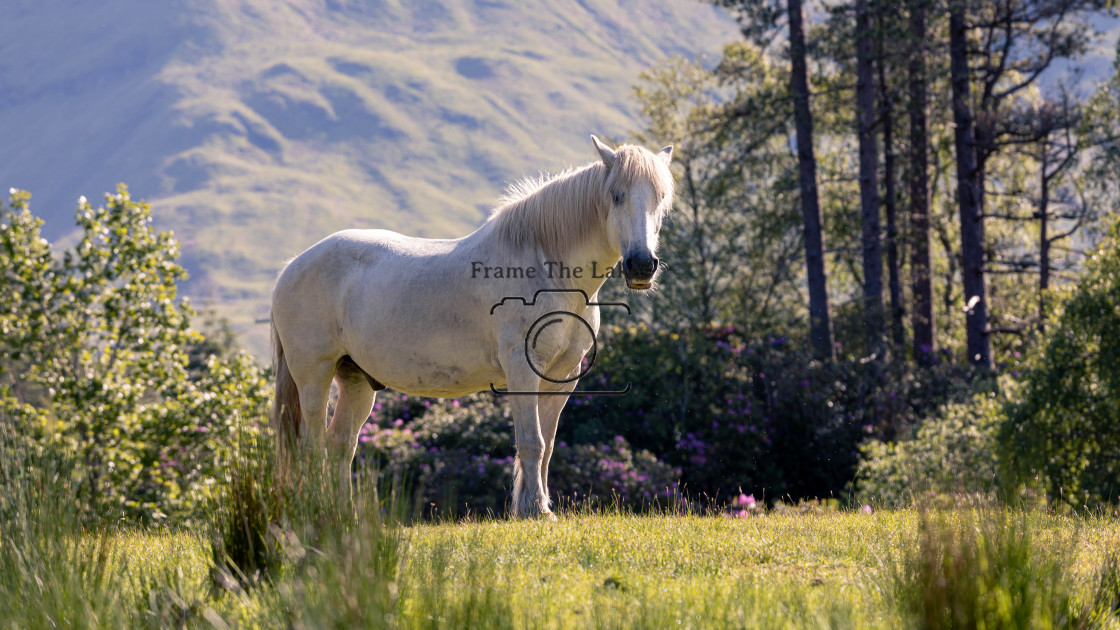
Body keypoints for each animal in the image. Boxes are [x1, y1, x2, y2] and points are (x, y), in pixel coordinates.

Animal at [271, 136, 672, 515]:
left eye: (662, 198)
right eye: (616, 196)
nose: (641, 265)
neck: (545, 267)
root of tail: (291, 266)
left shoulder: (562, 376)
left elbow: (547, 445)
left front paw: (538, 506)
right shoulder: (522, 369)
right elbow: (531, 441)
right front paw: (533, 510)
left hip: (355, 380)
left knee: (340, 446)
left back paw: (343, 518)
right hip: (314, 376)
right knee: (312, 446)